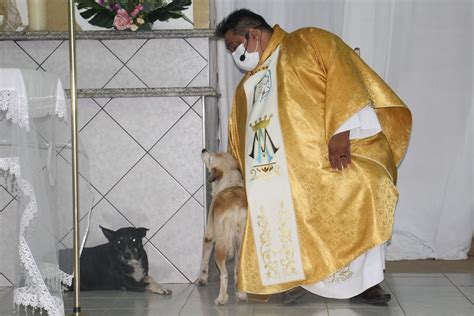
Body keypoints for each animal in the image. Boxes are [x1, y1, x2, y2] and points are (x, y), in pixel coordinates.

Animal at [196, 149, 248, 304]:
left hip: (220, 245)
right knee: (238, 269)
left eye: (210, 158)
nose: (203, 150)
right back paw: (241, 294)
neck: (229, 183)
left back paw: (221, 298)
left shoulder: (208, 236)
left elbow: (204, 260)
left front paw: (202, 279)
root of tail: (236, 207)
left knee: (224, 274)